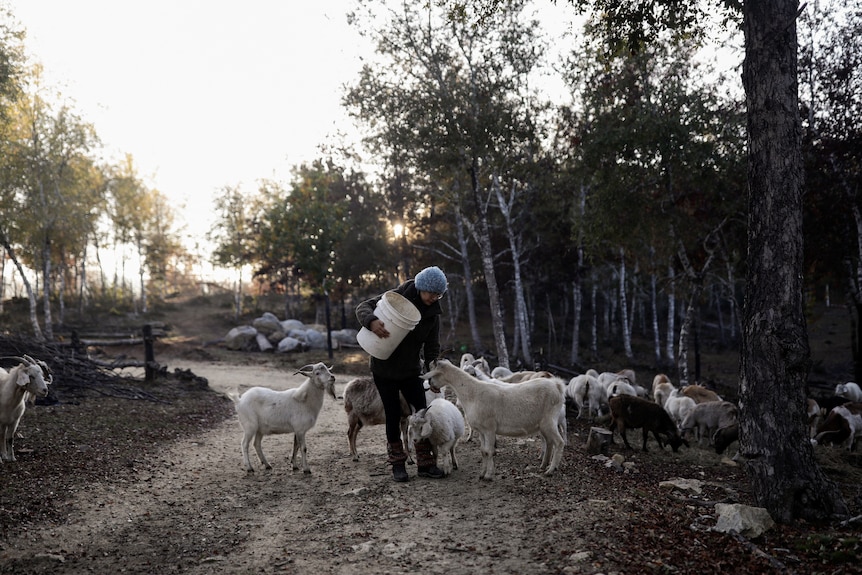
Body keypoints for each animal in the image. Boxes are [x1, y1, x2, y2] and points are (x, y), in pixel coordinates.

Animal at [420, 360, 568, 482]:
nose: (430, 385)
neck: (472, 393)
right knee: (550, 442)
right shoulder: (481, 430)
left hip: (549, 420)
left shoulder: (490, 428)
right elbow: (483, 451)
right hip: (543, 424)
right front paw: (482, 474)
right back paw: (544, 465)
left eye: (433, 375)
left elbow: (490, 451)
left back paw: (551, 470)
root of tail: (557, 385)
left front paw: (489, 476)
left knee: (559, 442)